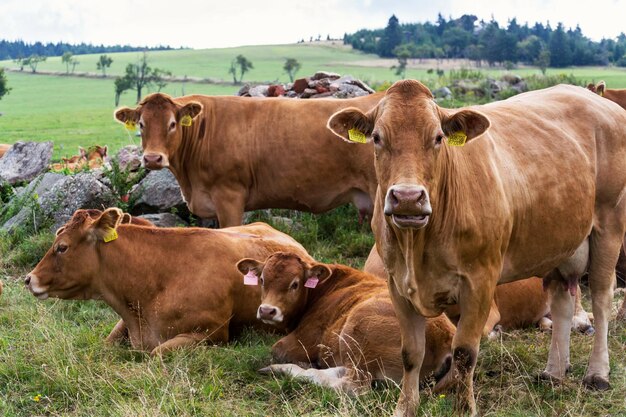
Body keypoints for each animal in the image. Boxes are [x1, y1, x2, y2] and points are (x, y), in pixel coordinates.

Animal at [234, 250, 454, 394]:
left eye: (294, 284)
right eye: (262, 280)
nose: (267, 311)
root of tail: (445, 337)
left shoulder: (302, 339)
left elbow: (277, 350)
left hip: (358, 330)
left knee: (353, 385)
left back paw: (284, 369)